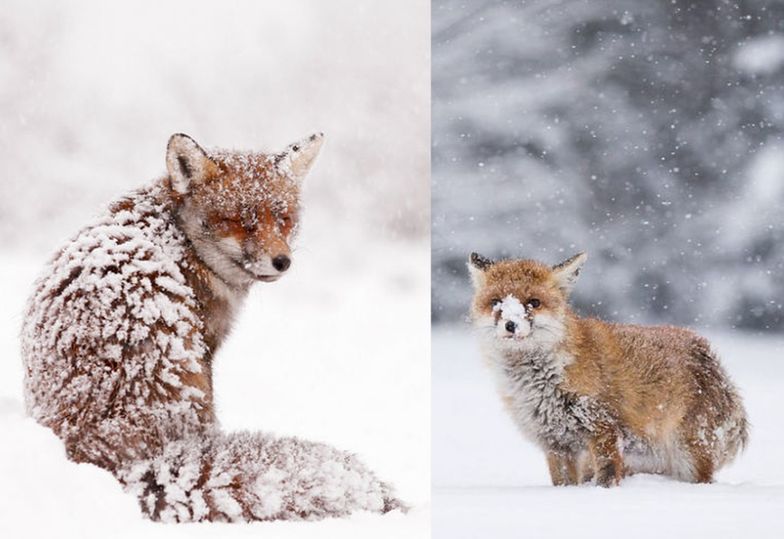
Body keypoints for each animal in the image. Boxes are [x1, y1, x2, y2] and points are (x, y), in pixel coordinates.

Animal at [468, 251, 752, 488]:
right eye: (496, 302)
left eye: (534, 302)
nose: (511, 324)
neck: (541, 381)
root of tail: (710, 357)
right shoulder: (556, 442)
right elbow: (563, 484)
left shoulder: (604, 428)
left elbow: (605, 477)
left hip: (688, 457)